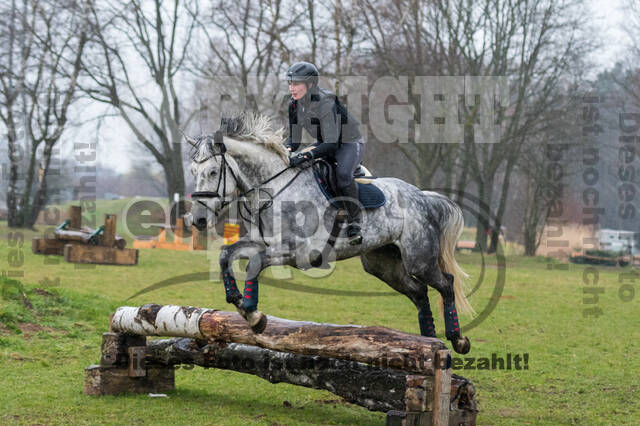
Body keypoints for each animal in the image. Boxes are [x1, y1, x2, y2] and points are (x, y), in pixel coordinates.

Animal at [185, 112, 476, 352]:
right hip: (382, 264)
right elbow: (226, 255)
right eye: (193, 171)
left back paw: (457, 340)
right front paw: (238, 302)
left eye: (213, 171)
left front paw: (254, 316)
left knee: (446, 284)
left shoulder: (296, 252)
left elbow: (254, 264)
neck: (275, 189)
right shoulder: (261, 242)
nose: (197, 219)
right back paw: (429, 340)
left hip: (419, 259)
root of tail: (421, 196)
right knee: (418, 292)